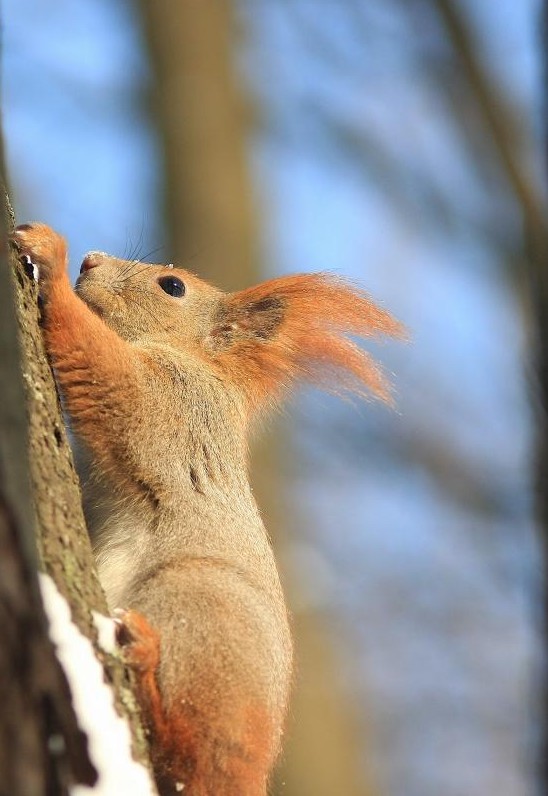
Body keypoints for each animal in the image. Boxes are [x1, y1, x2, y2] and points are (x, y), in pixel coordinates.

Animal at [11, 222, 402, 796]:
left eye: (173, 286)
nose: (89, 260)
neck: (200, 362)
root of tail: (248, 772)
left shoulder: (176, 401)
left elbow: (111, 379)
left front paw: (50, 261)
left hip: (192, 609)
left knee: (183, 744)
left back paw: (144, 663)